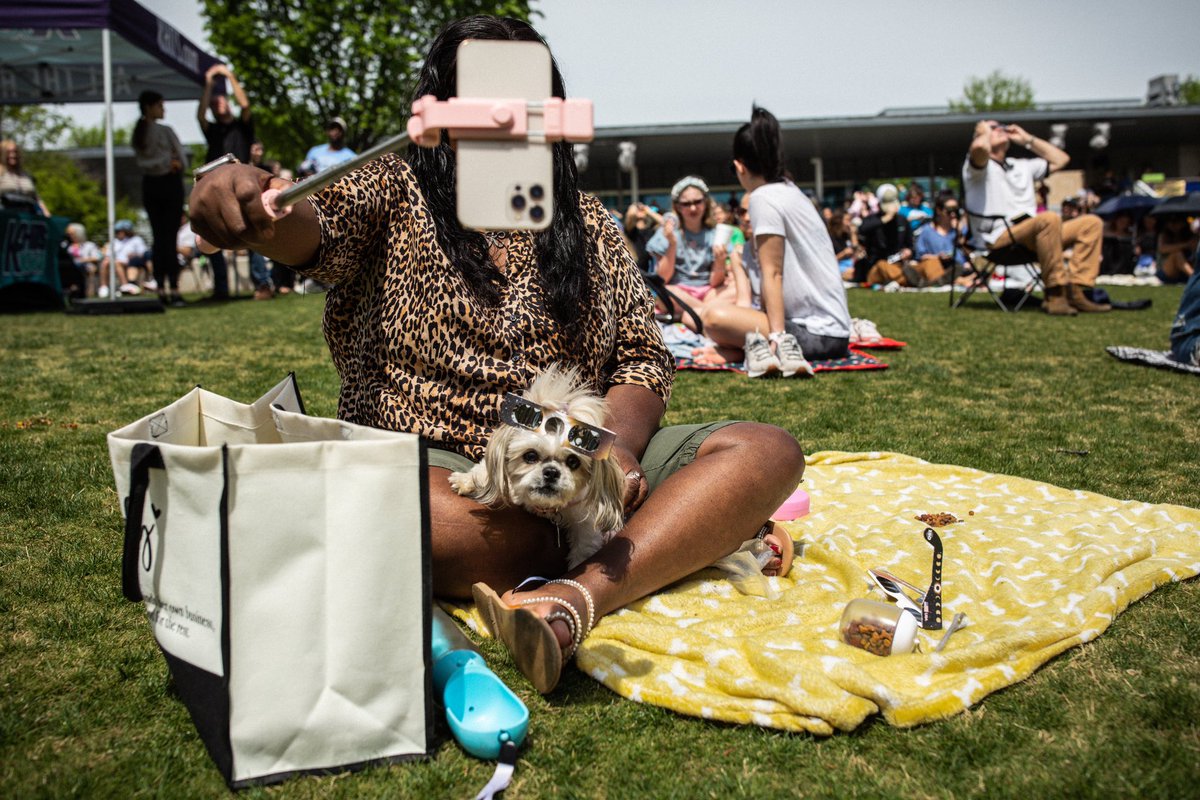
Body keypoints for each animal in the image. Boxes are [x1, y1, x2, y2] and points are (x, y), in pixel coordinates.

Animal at [448, 362, 628, 568]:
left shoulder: (585, 525)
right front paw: (465, 480)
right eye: (531, 456)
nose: (551, 472)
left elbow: (583, 550)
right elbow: (482, 470)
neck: (546, 508)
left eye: (573, 462)